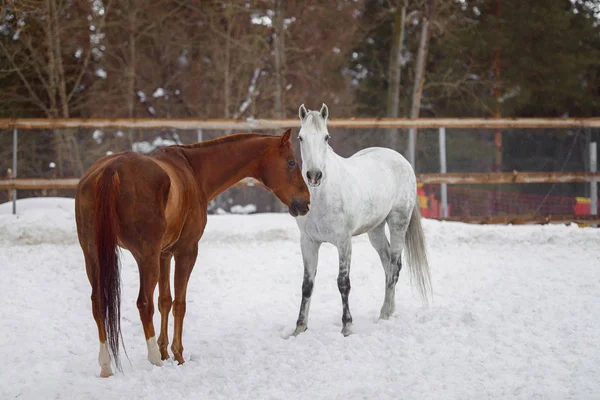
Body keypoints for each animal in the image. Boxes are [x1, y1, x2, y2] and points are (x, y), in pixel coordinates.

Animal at [75, 130, 310, 376]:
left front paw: (165, 351)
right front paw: (177, 355)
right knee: (144, 304)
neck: (193, 171)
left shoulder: (165, 254)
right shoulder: (186, 251)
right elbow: (179, 303)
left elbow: (165, 301)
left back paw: (106, 366)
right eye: (291, 162)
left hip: (93, 255)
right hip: (145, 258)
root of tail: (111, 170)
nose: (306, 202)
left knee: (98, 302)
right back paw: (154, 360)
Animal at [292, 104, 428, 336]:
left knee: (394, 266)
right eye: (301, 137)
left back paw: (384, 314)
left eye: (326, 137)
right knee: (388, 264)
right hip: (375, 230)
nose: (314, 175)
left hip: (398, 222)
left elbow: (343, 283)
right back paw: (389, 310)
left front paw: (347, 327)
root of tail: (402, 160)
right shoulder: (308, 242)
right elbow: (307, 285)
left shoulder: (344, 242)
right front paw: (299, 329)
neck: (322, 197)